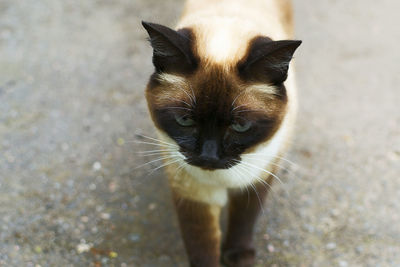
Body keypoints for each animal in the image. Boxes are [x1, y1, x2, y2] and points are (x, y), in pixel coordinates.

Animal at [141, 0, 300, 266]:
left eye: (240, 126)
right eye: (185, 120)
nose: (209, 157)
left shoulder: (258, 178)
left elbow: (244, 218)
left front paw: (239, 256)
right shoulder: (193, 194)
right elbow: (202, 247)